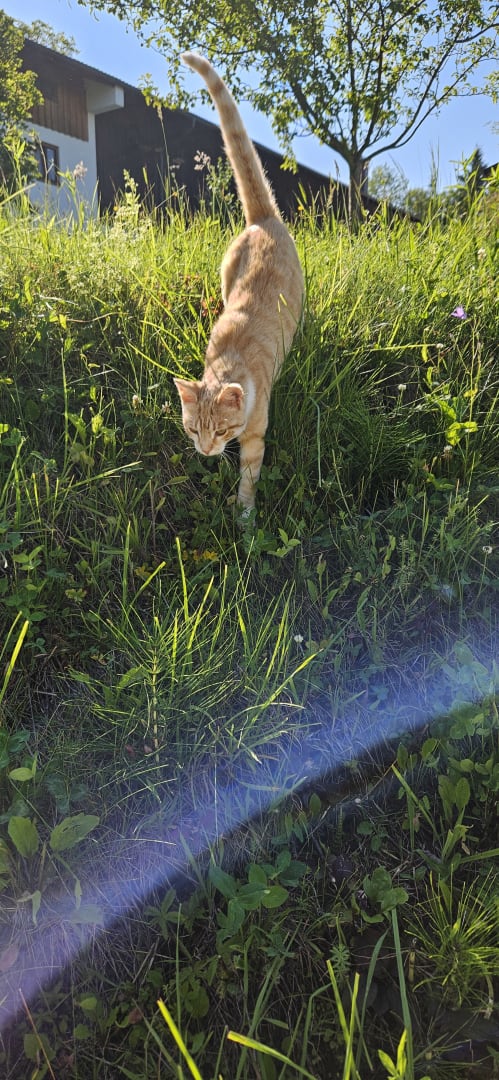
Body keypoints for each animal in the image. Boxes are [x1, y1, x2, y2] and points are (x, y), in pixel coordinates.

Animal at [174, 52, 304, 514]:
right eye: (194, 430)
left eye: (221, 430)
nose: (207, 450)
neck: (231, 363)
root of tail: (262, 219)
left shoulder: (256, 437)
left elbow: (249, 475)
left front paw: (244, 514)